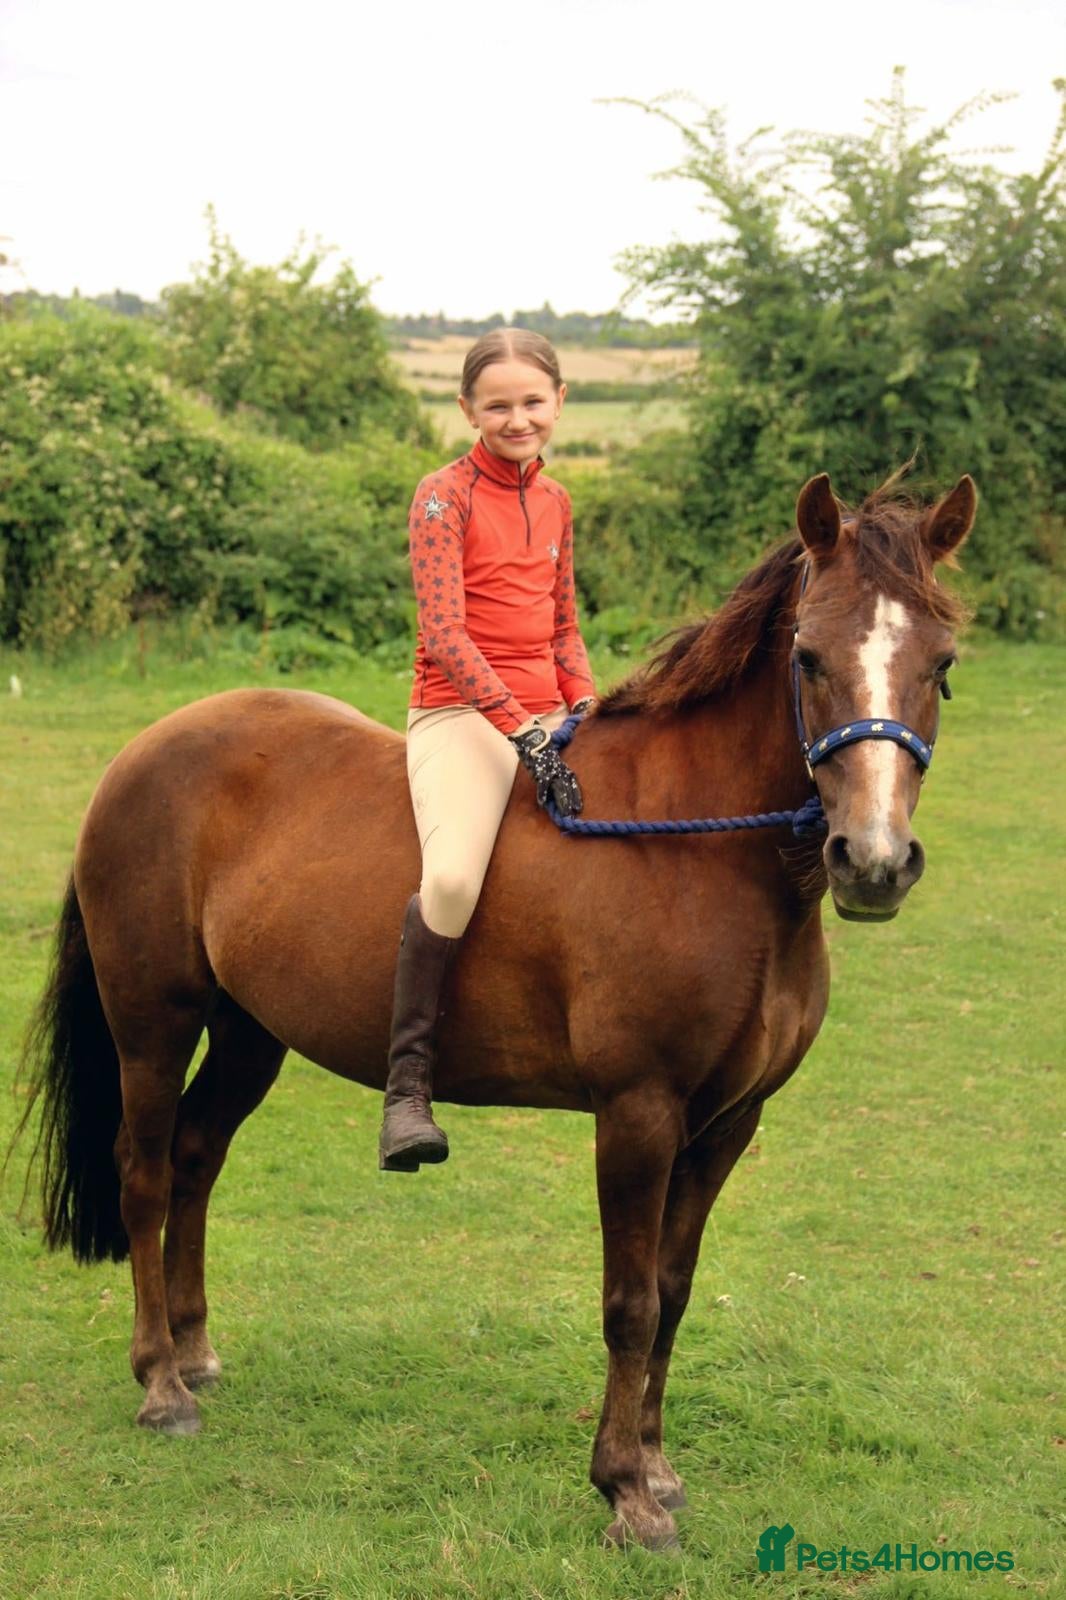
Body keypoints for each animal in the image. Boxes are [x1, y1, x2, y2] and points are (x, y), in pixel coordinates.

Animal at [17, 470, 974, 1551]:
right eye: (808, 656)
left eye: (942, 666)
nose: (873, 862)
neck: (696, 846)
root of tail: (145, 749)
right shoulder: (638, 1113)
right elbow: (631, 1301)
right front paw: (624, 1491)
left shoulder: (728, 1121)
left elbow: (676, 1290)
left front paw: (657, 1467)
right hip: (154, 1020)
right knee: (142, 1171)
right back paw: (161, 1388)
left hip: (250, 1033)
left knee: (193, 1157)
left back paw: (195, 1354)